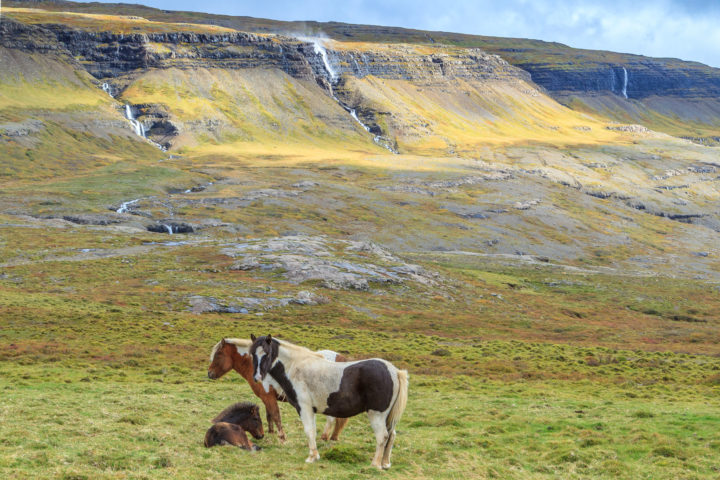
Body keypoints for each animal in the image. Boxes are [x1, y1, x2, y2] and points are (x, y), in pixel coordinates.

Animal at [207, 338, 350, 442]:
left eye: (218, 354)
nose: (209, 373)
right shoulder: (266, 397)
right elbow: (269, 415)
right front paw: (271, 432)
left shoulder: (268, 397)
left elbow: (276, 415)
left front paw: (282, 437)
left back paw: (325, 437)